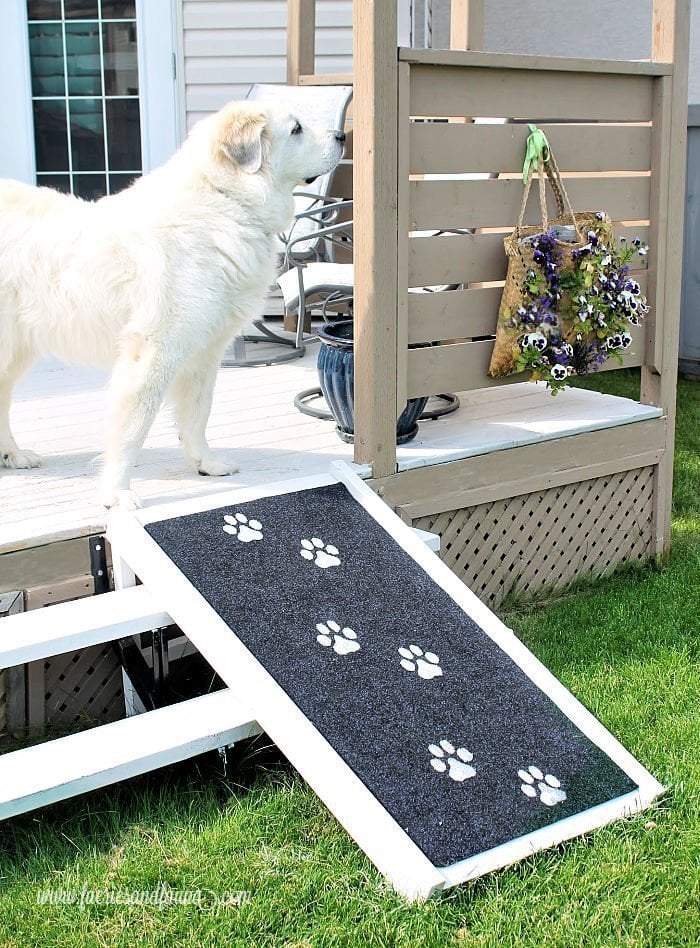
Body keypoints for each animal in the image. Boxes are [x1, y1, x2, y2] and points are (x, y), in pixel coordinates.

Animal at [0, 100, 344, 508]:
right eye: (296, 130)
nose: (343, 136)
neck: (226, 199)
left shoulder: (204, 352)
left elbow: (198, 413)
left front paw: (206, 463)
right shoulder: (153, 352)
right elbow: (133, 427)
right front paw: (117, 492)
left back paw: (14, 456)